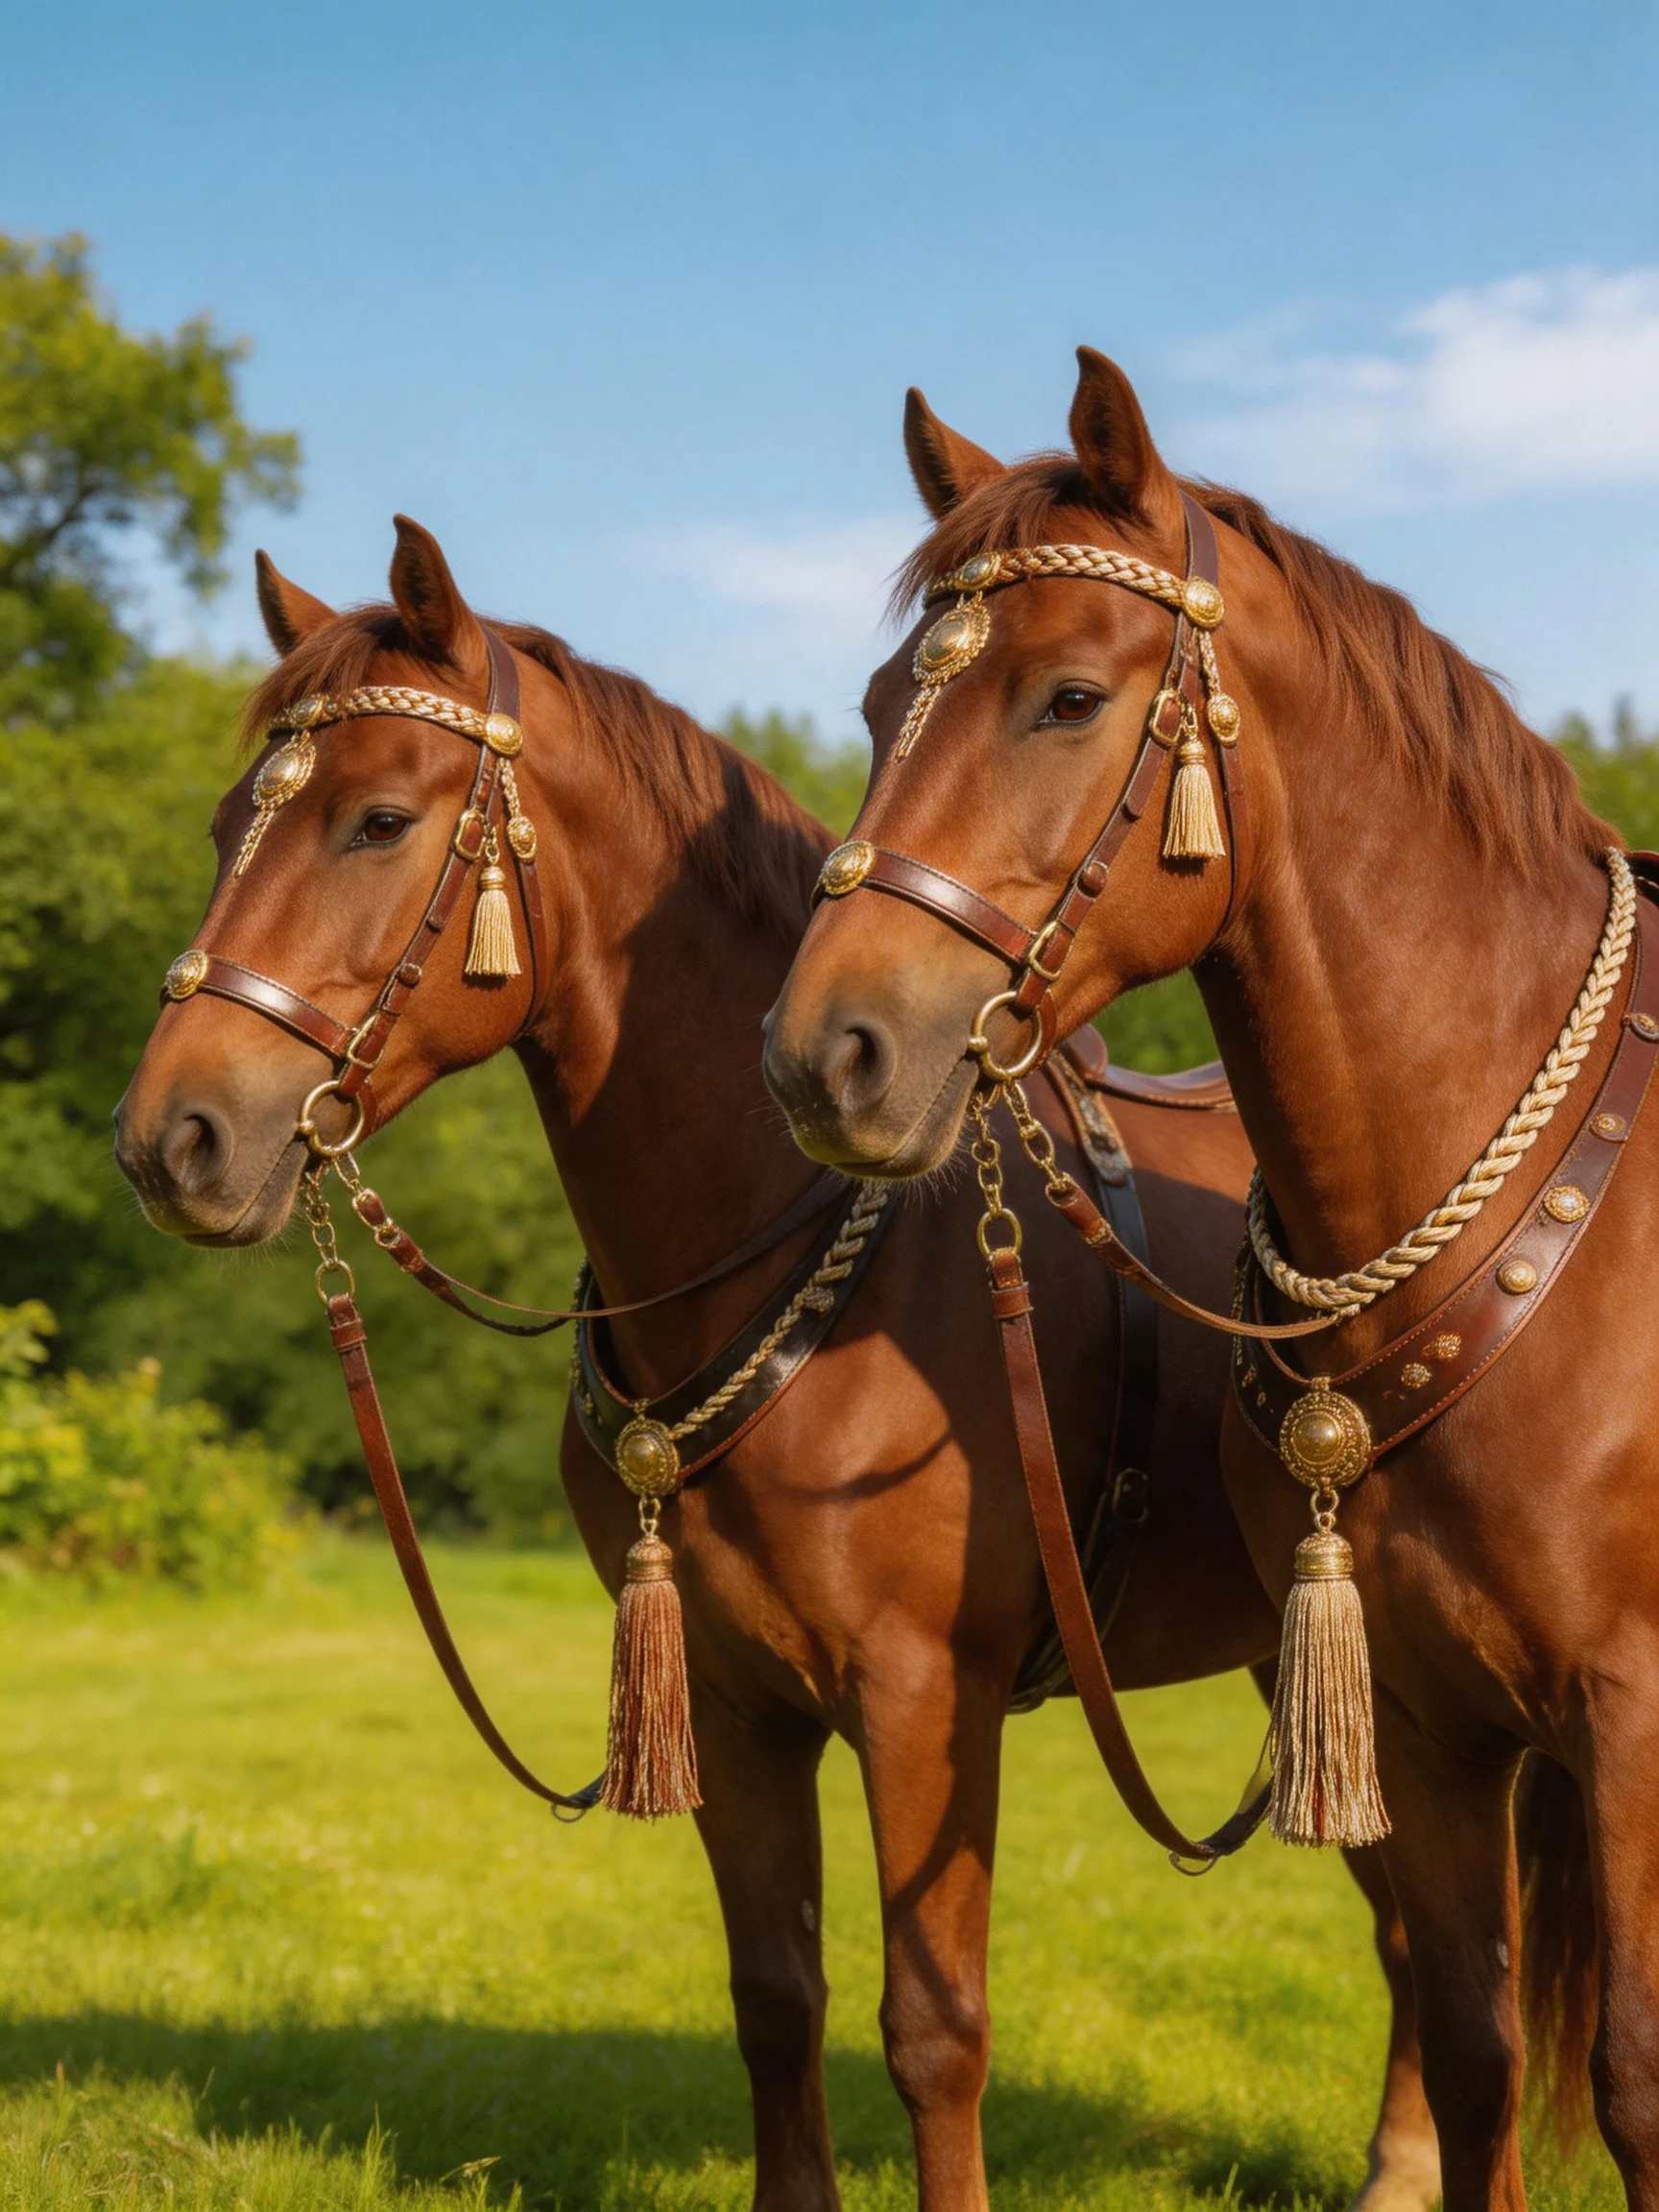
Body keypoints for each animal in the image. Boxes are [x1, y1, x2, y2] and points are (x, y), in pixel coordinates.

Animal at [113, 516, 1433, 2212]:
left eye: (379, 820)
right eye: (229, 823)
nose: (172, 1141)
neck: (786, 1262)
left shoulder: (924, 1699)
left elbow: (933, 2024)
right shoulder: (736, 1705)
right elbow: (776, 1999)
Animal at [762, 348, 1629, 2211]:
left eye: (1070, 697)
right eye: (873, 708)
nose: (823, 1053)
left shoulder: (1627, 1710)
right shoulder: (1429, 1721)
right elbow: (1480, 2049)